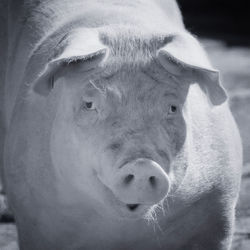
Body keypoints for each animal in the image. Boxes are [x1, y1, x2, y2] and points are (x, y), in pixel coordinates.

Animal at [1, 0, 242, 250]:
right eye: (89, 104)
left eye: (172, 108)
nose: (142, 164)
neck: (122, 232)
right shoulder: (31, 213)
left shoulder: (218, 207)